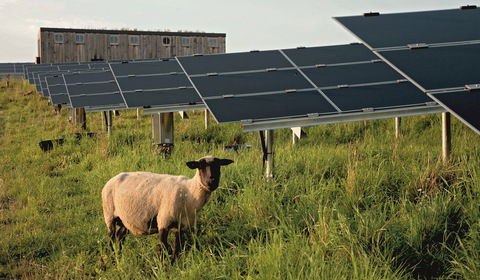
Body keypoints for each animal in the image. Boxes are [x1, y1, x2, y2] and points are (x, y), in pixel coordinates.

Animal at [101, 155, 234, 258]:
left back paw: (119, 256)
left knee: (120, 237)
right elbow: (165, 247)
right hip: (109, 215)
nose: (212, 181)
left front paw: (175, 265)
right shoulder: (163, 221)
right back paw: (114, 259)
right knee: (112, 238)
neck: (190, 194)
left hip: (125, 220)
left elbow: (177, 249)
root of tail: (112, 179)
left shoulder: (182, 226)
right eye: (200, 166)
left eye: (219, 165)